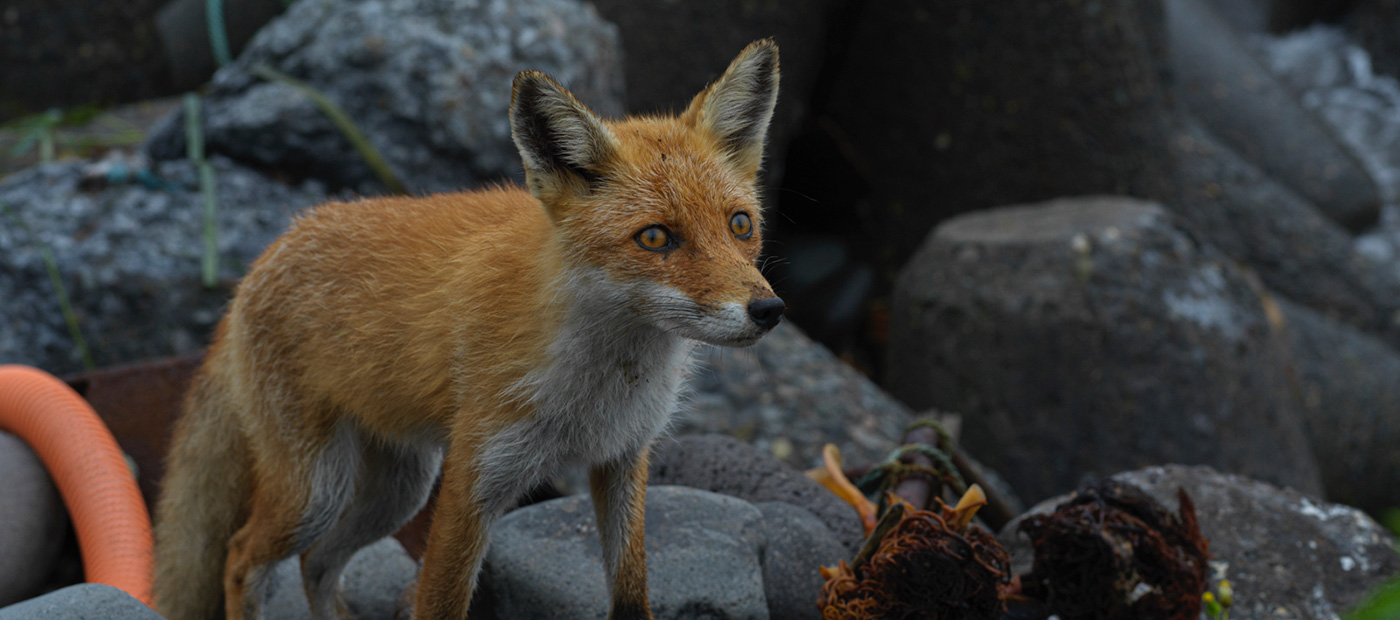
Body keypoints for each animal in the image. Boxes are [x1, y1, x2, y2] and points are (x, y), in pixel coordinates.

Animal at [154, 37, 789, 620]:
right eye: (655, 237)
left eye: (741, 225)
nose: (768, 310)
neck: (598, 389)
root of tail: (266, 254)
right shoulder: (475, 481)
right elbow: (439, 601)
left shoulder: (623, 460)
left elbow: (632, 595)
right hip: (317, 488)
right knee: (241, 557)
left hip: (399, 488)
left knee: (318, 563)